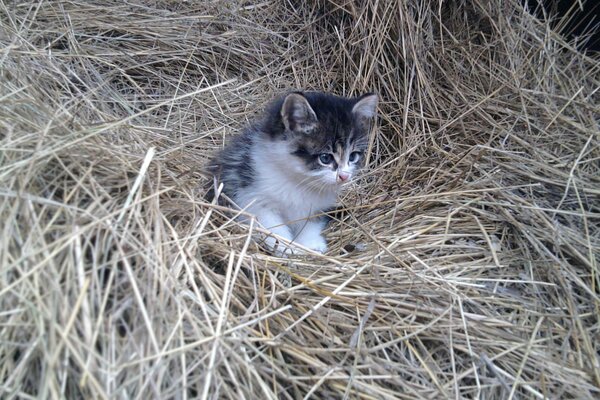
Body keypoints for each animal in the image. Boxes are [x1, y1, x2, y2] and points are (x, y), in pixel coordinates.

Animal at [211, 91, 378, 253]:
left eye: (353, 156)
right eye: (325, 158)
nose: (344, 176)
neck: (297, 181)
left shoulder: (316, 208)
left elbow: (310, 224)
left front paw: (311, 244)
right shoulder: (253, 198)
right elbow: (272, 227)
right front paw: (286, 247)